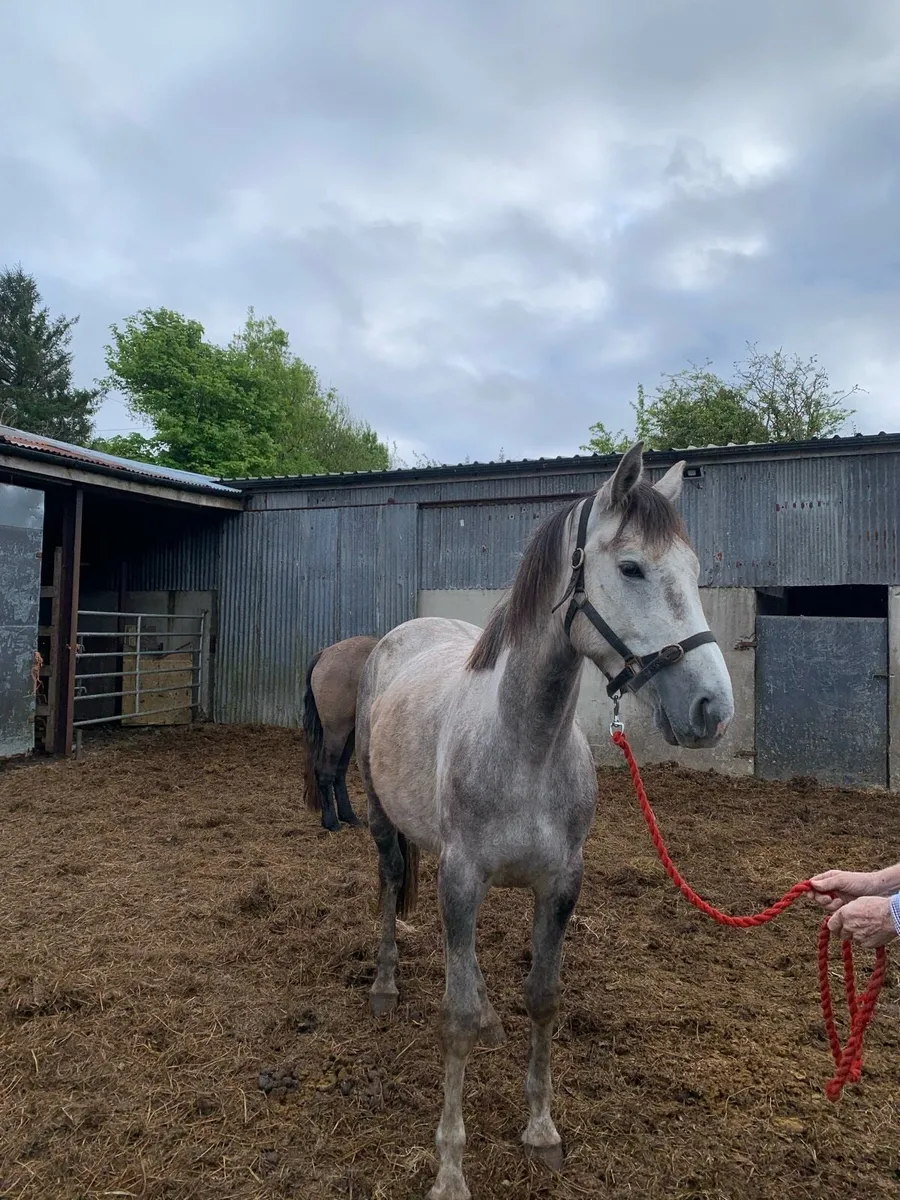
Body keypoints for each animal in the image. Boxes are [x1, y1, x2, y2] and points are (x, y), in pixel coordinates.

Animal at [301, 634, 379, 832]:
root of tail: (324, 654)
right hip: (336, 730)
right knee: (325, 770)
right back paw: (331, 822)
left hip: (349, 732)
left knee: (339, 771)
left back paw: (348, 816)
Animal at [354, 443, 734, 1200]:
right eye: (631, 568)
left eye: (693, 570)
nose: (712, 708)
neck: (523, 744)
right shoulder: (461, 880)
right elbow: (453, 1021)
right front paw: (450, 1167)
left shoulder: (560, 885)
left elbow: (543, 998)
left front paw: (540, 1129)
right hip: (387, 827)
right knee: (388, 885)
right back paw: (384, 985)